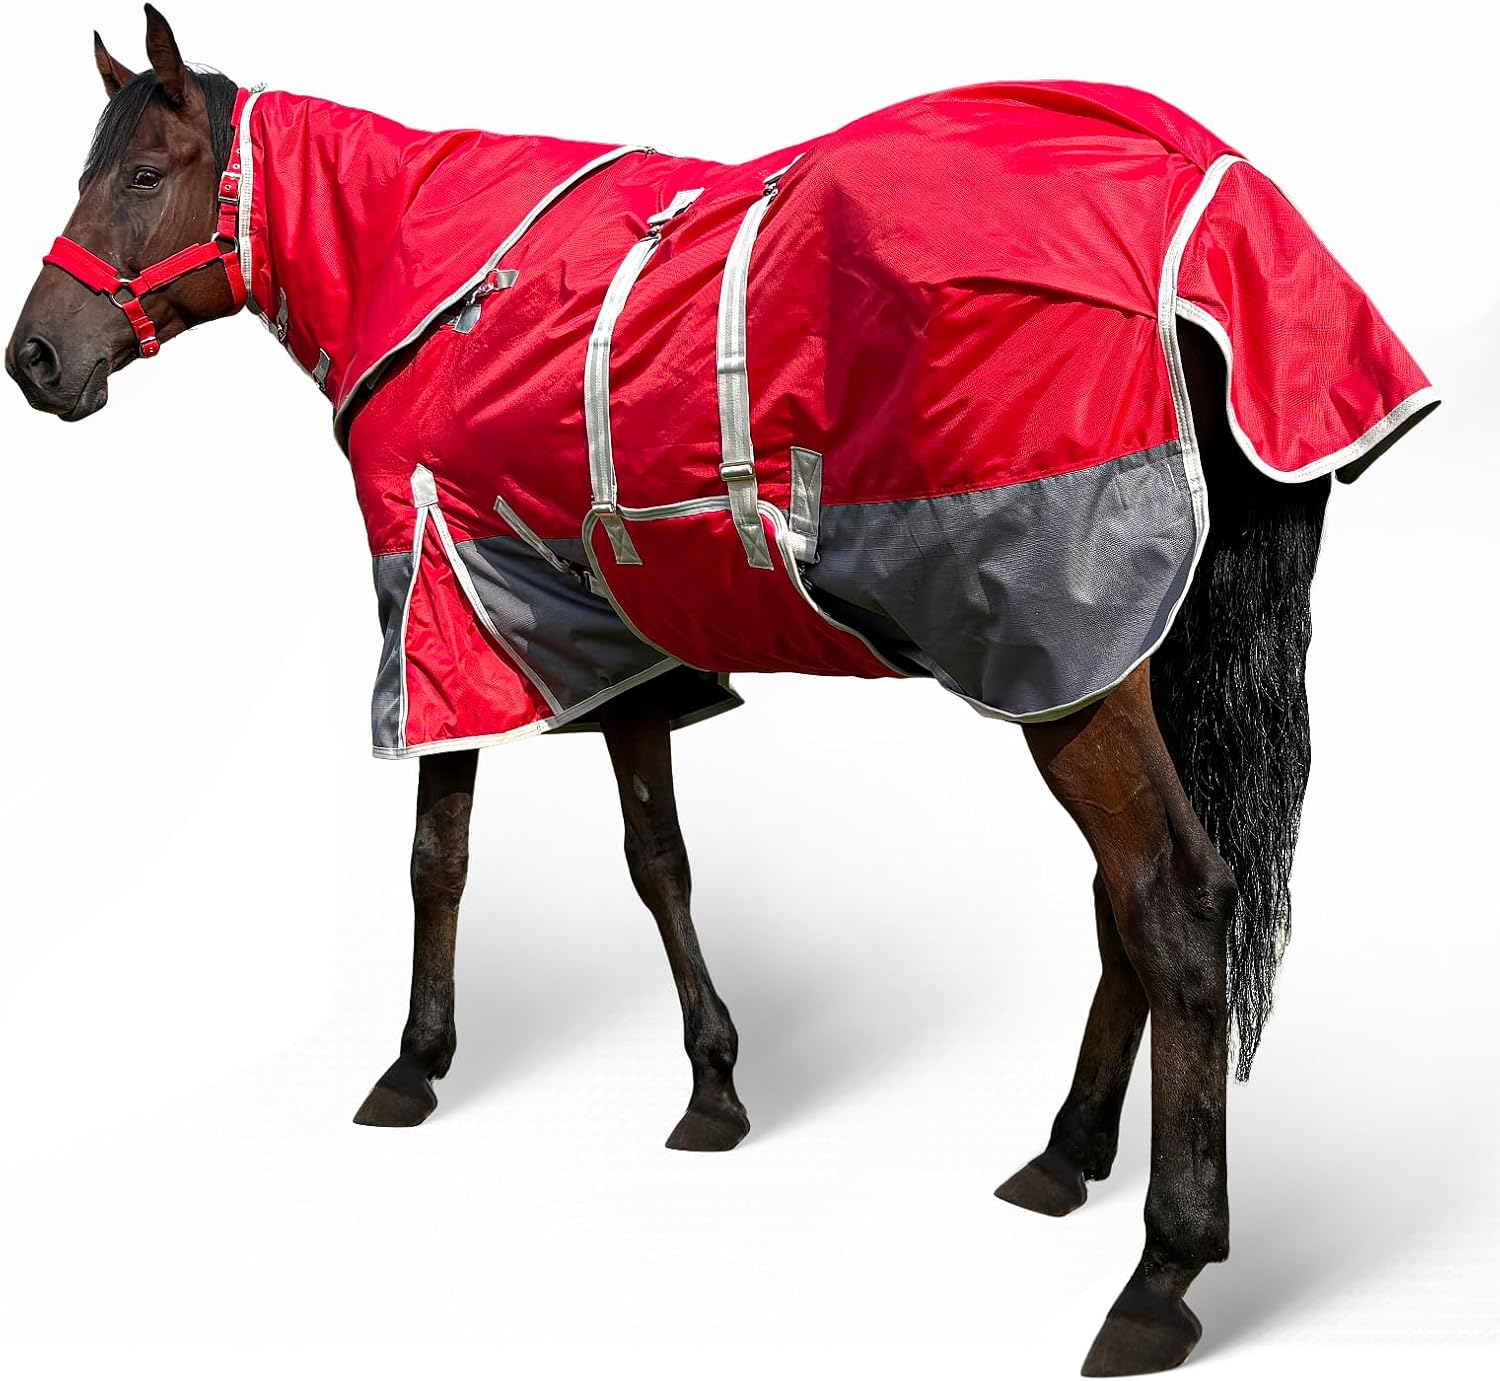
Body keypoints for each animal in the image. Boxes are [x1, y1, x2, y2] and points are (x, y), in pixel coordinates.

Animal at [5, 8, 1437, 1375]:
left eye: (142, 173)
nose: (35, 359)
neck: (436, 282)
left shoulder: (439, 593)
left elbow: (437, 857)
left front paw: (413, 1065)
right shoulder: (607, 634)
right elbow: (660, 860)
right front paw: (714, 1090)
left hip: (1061, 659)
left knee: (1174, 903)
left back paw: (1160, 1272)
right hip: (1102, 664)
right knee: (1121, 910)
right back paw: (1064, 1154)